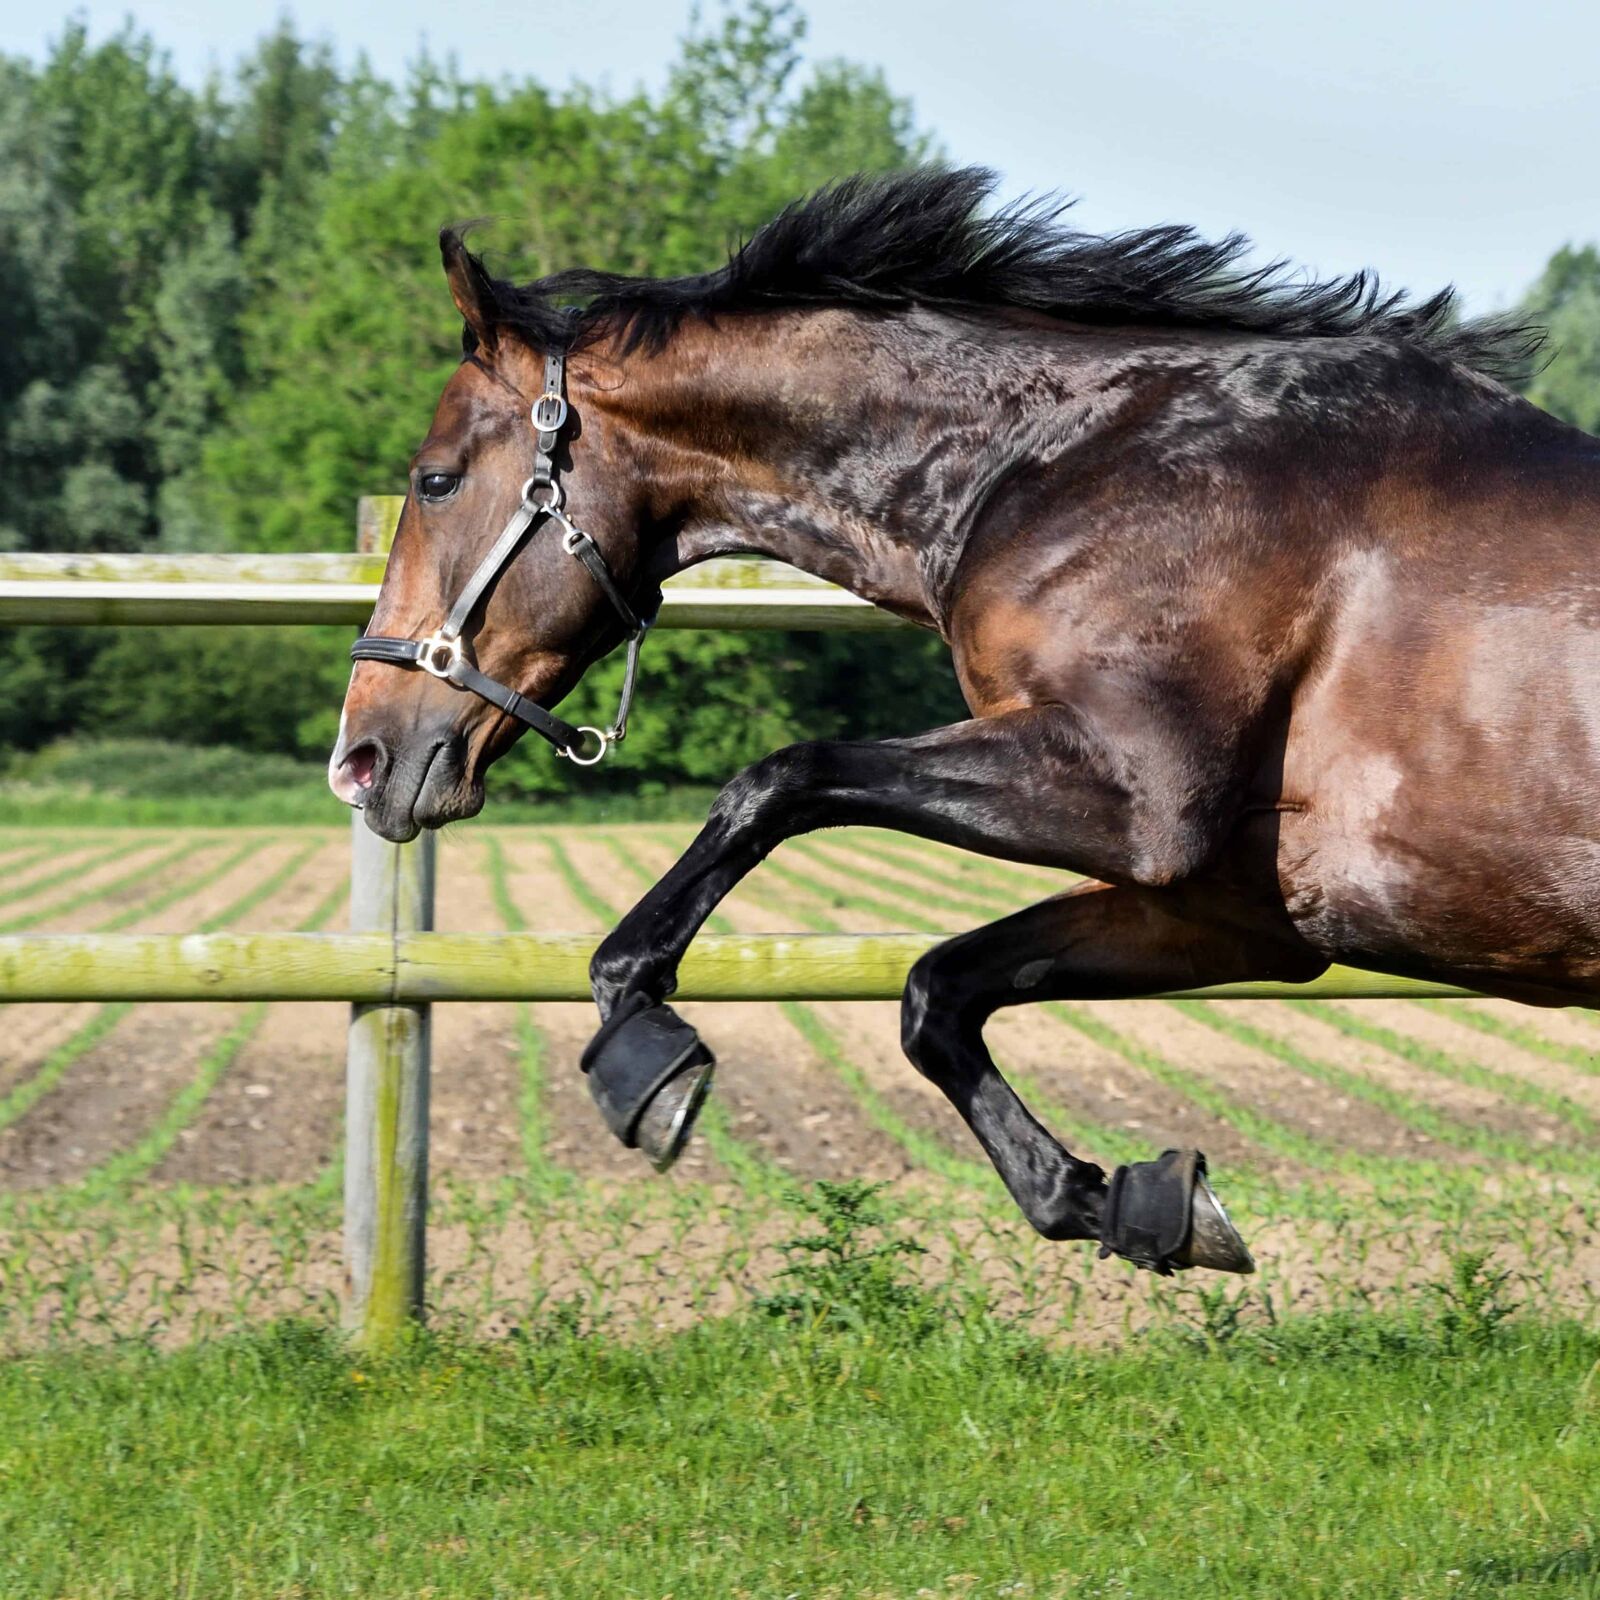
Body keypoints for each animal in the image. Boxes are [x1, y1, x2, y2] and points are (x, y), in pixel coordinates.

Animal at [329, 167, 1594, 1278]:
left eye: (434, 479)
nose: (362, 760)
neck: (1074, 458)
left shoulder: (1134, 800)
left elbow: (776, 781)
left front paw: (646, 1063)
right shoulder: (1229, 912)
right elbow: (937, 990)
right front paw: (1135, 1202)